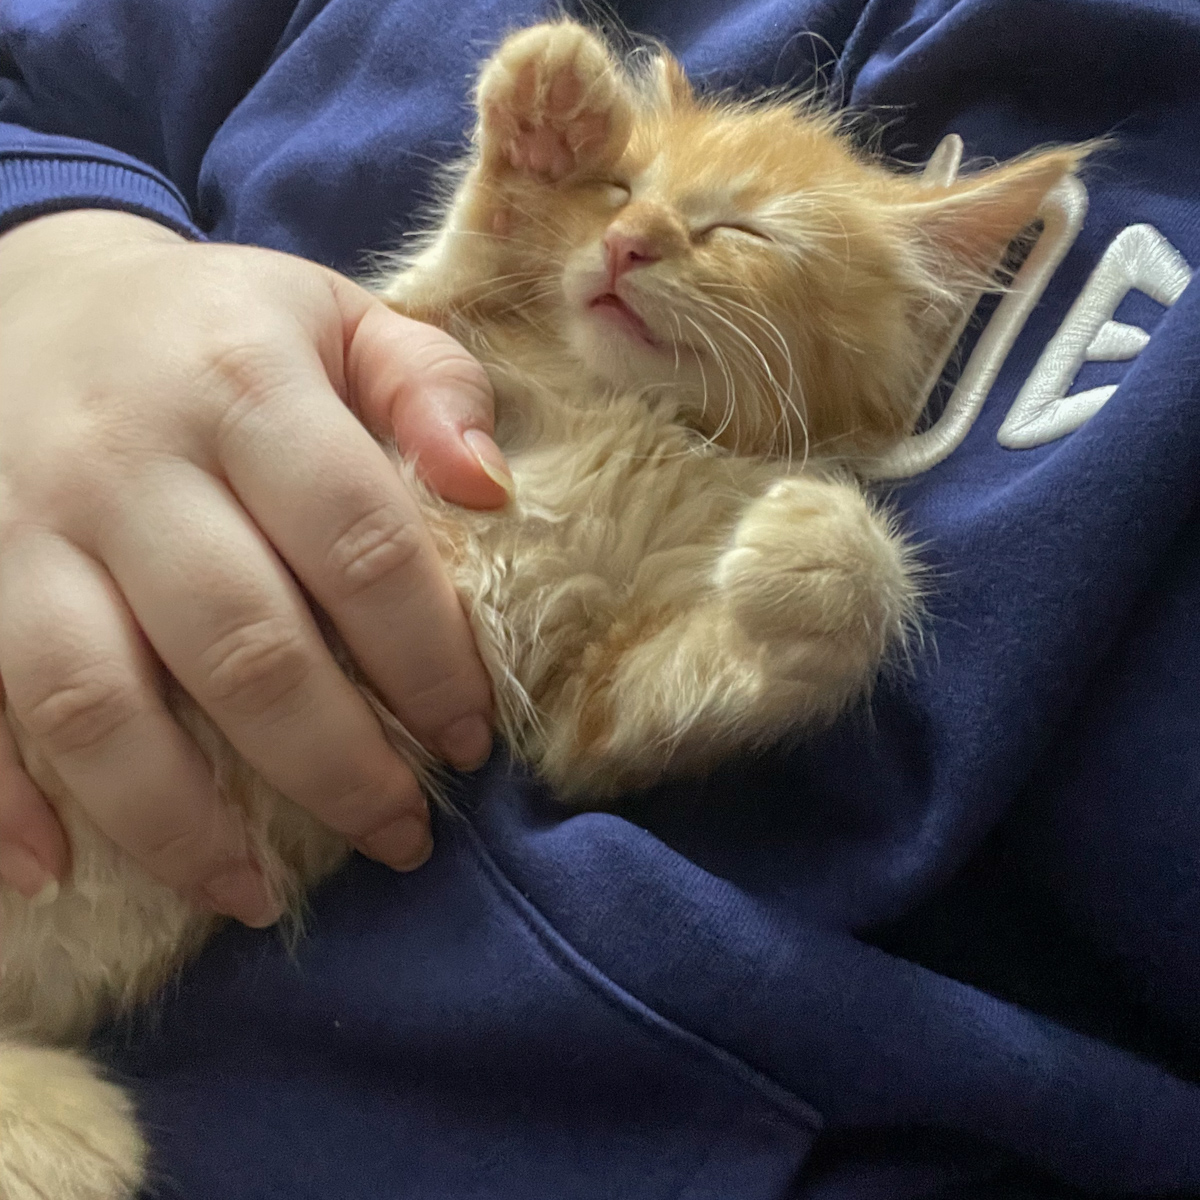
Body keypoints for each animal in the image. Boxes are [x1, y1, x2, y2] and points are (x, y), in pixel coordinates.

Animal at [0, 18, 1089, 1200]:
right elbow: (464, 253)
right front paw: (547, 113)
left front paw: (821, 548)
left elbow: (707, 672)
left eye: (738, 228)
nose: (629, 245)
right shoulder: (419, 336)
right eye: (621, 190)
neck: (639, 412)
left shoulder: (583, 717)